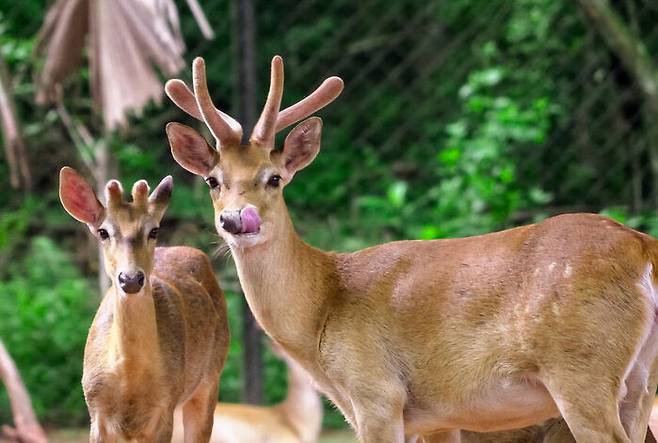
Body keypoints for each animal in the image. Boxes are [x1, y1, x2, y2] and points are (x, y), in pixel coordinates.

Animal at [59, 166, 228, 443]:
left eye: (154, 231)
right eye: (103, 232)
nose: (130, 279)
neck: (129, 377)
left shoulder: (164, 408)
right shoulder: (96, 411)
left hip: (210, 377)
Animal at [167, 57, 656, 442]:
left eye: (273, 178)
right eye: (212, 180)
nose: (237, 220)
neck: (323, 307)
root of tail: (642, 249)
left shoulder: (377, 393)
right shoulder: (437, 418)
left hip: (580, 368)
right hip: (640, 381)